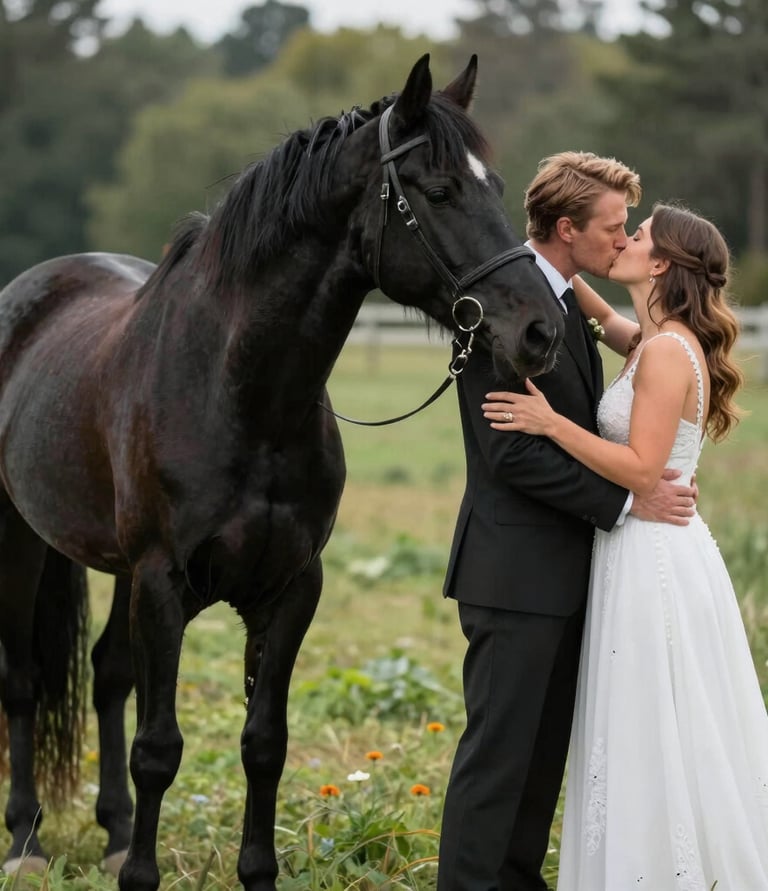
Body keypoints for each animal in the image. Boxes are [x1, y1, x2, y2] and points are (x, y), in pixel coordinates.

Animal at [0, 54, 563, 890]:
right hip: (21, 540)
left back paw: (113, 833)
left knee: (107, 674)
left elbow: (264, 741)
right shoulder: (164, 583)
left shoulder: (292, 586)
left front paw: (250, 871)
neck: (240, 391)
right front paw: (141, 874)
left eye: (494, 185)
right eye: (438, 191)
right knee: (24, 681)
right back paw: (26, 841)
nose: (541, 330)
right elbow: (158, 748)